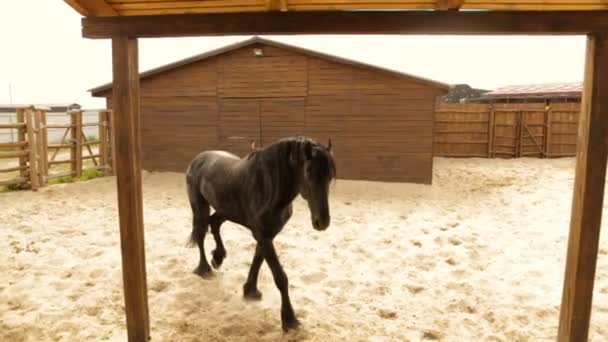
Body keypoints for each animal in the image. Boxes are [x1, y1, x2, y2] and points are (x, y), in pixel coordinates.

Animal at [185, 136, 338, 332]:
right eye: (308, 171)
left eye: (330, 175)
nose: (322, 222)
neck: (268, 188)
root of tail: (197, 159)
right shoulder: (263, 235)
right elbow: (280, 276)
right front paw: (289, 320)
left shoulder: (266, 234)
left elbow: (258, 260)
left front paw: (250, 290)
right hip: (199, 207)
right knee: (201, 233)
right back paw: (204, 269)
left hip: (226, 210)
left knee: (214, 223)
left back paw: (218, 257)